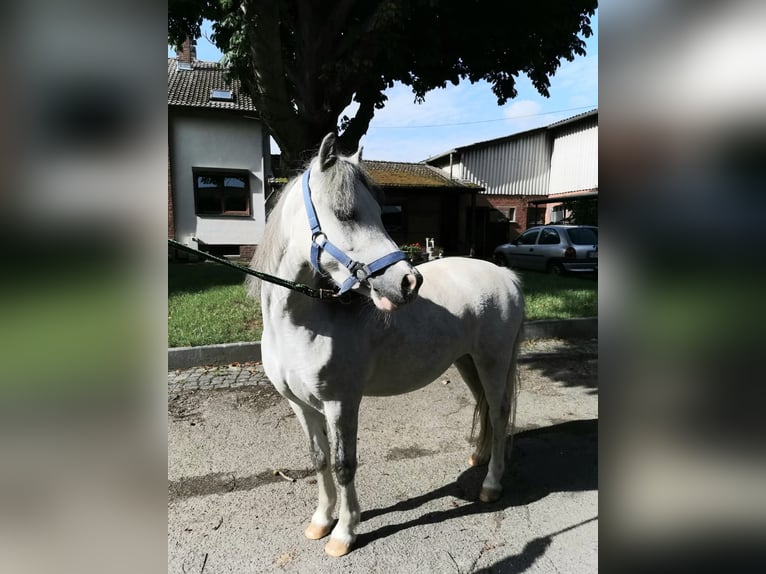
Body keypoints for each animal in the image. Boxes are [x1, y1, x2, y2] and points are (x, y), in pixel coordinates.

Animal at [252, 135, 528, 560]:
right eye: (345, 213)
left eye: (382, 215)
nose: (408, 282)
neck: (301, 323)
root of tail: (506, 274)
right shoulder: (300, 405)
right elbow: (319, 460)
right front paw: (320, 521)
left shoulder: (341, 404)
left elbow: (344, 465)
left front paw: (344, 534)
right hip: (468, 363)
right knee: (484, 409)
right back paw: (479, 458)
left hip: (494, 363)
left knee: (499, 418)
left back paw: (491, 485)